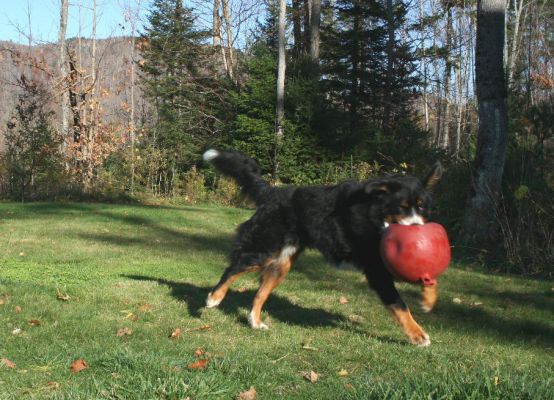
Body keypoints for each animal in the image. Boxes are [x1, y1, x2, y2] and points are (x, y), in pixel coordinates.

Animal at [203, 150, 440, 346]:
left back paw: (254, 321)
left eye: (421, 207)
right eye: (402, 207)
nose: (417, 228)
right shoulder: (376, 268)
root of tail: (274, 192)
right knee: (233, 269)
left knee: (260, 293)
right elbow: (399, 304)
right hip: (264, 249)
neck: (375, 215)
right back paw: (214, 298)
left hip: (282, 264)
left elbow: (427, 275)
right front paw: (417, 334)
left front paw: (428, 301)